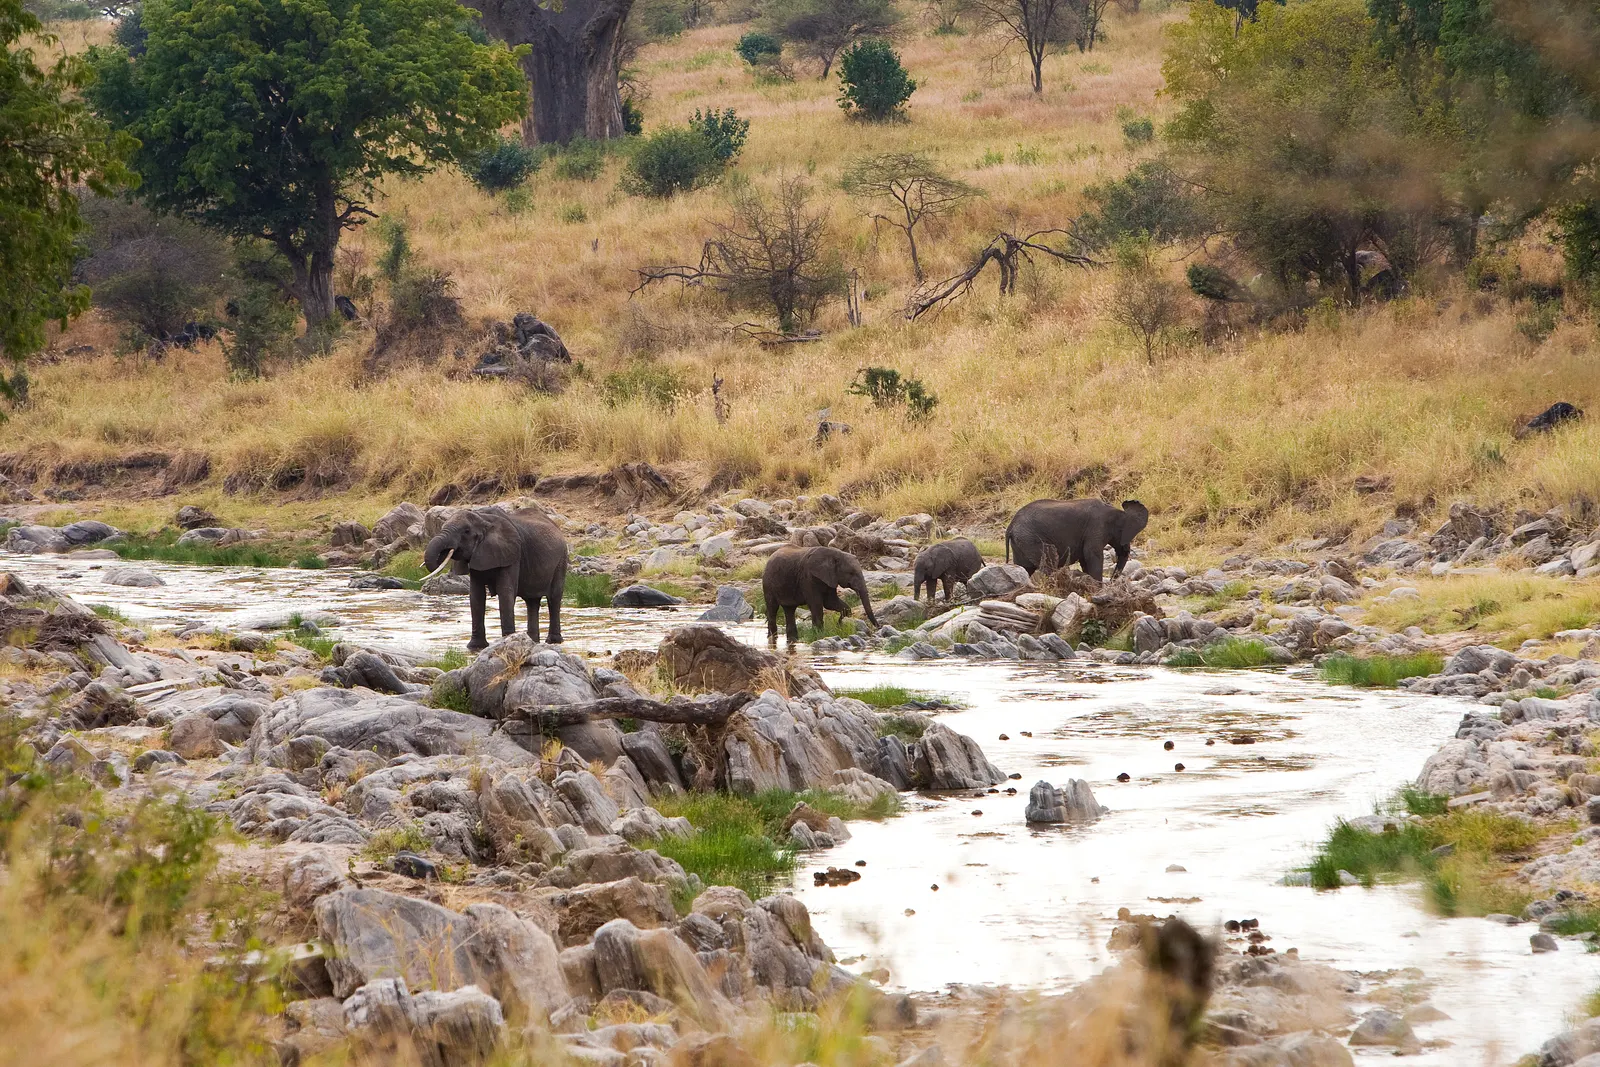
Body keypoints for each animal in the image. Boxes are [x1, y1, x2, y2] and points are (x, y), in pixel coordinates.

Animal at [422, 506, 568, 650]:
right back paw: (533, 641)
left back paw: (553, 642)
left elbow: (505, 591)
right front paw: (475, 647)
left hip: (561, 560)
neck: (483, 518)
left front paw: (507, 641)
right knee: (532, 601)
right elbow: (476, 595)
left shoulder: (512, 554)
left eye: (466, 531)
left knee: (554, 598)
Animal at [1005, 498, 1149, 581]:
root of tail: (1010, 526)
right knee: (1048, 563)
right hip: (1029, 538)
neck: (1115, 510)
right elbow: (1092, 555)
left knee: (1024, 568)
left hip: (1021, 541)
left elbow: (1085, 559)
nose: (1112, 581)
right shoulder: (1096, 527)